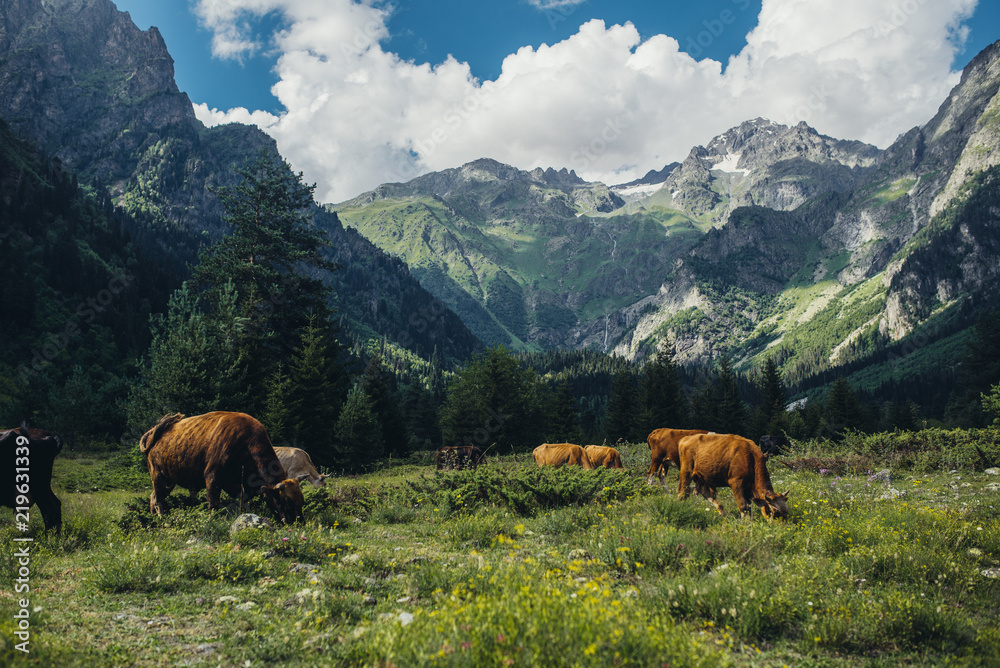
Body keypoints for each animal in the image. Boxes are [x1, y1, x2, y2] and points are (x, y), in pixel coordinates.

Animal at [140, 410, 304, 524]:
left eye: (301, 500)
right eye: (286, 501)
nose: (298, 521)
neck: (245, 443)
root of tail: (153, 433)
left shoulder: (239, 485)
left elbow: (244, 504)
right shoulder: (212, 477)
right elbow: (213, 503)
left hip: (169, 481)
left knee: (153, 497)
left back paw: (154, 518)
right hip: (159, 476)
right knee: (158, 500)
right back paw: (162, 519)